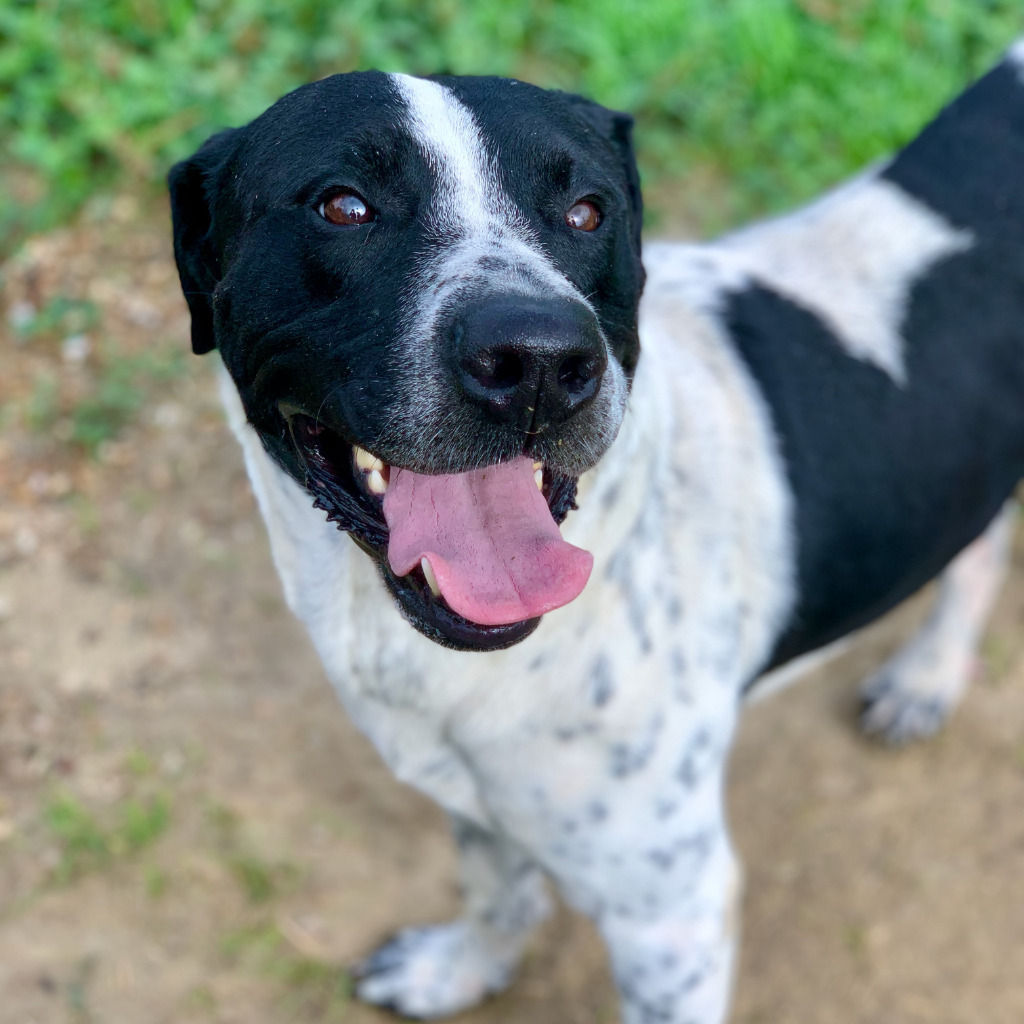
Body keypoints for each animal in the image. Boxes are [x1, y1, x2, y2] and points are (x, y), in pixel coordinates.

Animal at [169, 44, 1024, 1024]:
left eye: (587, 209)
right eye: (342, 205)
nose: (538, 360)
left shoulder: (672, 920)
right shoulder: (476, 804)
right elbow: (497, 892)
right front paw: (461, 970)